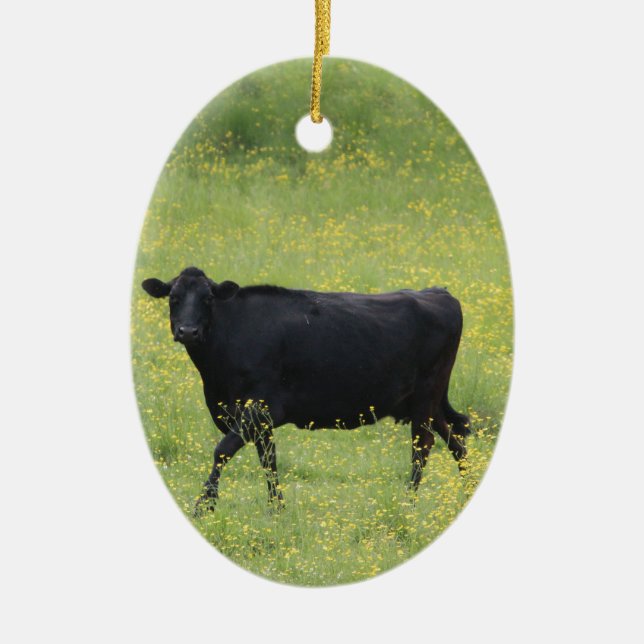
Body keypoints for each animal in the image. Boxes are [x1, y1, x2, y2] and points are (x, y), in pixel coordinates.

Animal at [142, 266, 470, 516]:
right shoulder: (259, 419)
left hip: (426, 396)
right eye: (173, 298)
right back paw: (465, 491)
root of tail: (438, 292)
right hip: (423, 402)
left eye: (208, 298)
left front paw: (204, 505)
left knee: (423, 446)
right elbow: (269, 460)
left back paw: (409, 503)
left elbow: (222, 451)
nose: (187, 331)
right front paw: (277, 509)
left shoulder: (259, 406)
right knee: (456, 439)